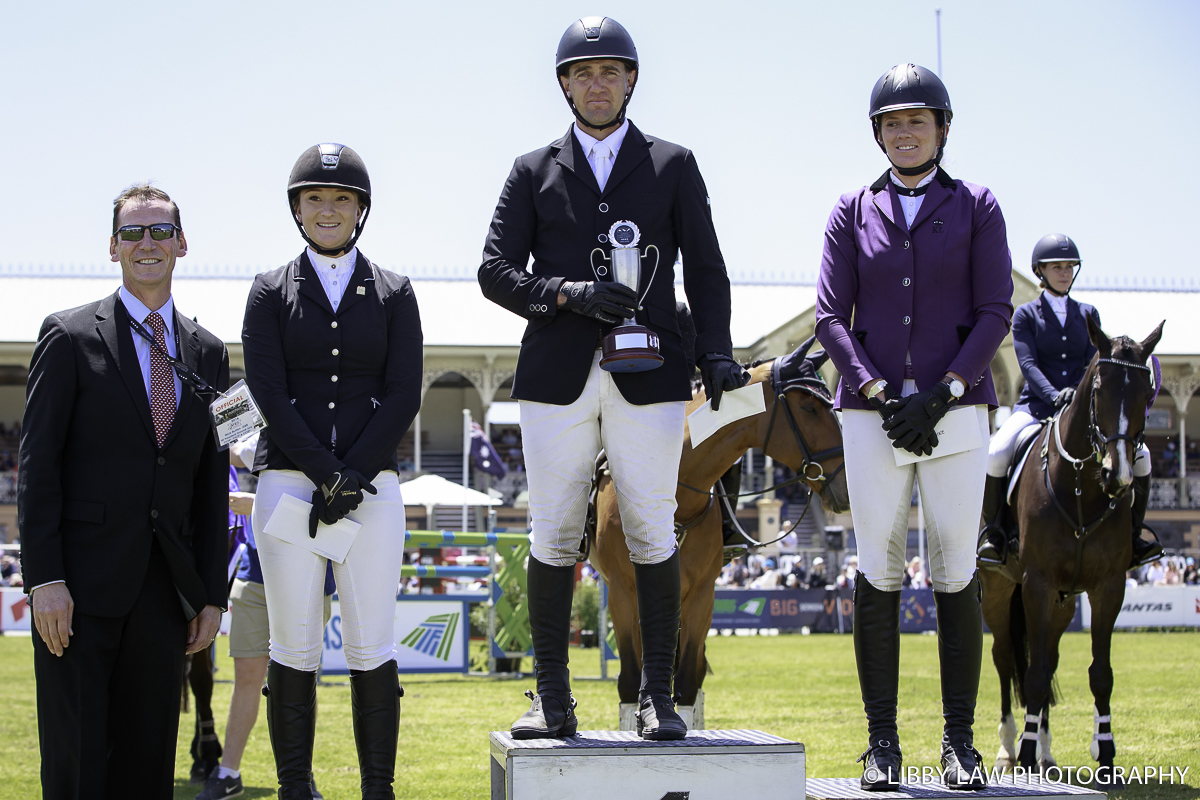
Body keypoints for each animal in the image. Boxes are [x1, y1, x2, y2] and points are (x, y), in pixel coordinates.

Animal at [585, 340, 849, 729]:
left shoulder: (701, 596)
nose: (846, 483)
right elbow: (631, 681)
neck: (677, 493)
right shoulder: (621, 590)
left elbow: (687, 684)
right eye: (809, 407)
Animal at [984, 316, 1161, 786]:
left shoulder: (1108, 587)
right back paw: (1010, 749)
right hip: (998, 590)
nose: (1119, 475)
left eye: (1145, 392)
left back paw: (1046, 754)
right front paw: (1024, 751)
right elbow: (1032, 675)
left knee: (1049, 656)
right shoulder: (1037, 584)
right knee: (1006, 659)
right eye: (1098, 388)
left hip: (1062, 604)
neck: (1082, 487)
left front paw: (1106, 752)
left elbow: (1099, 674)